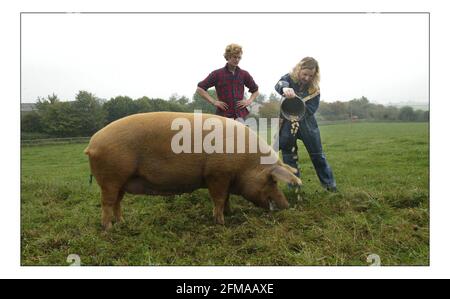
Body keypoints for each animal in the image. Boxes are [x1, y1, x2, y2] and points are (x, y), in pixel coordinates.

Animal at [84, 111, 302, 231]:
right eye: (273, 180)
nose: (287, 205)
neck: (246, 163)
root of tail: (92, 144)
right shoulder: (216, 175)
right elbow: (219, 198)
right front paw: (221, 222)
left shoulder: (224, 178)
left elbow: (226, 198)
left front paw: (230, 213)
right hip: (111, 178)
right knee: (107, 203)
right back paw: (109, 229)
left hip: (120, 181)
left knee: (117, 203)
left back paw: (122, 223)